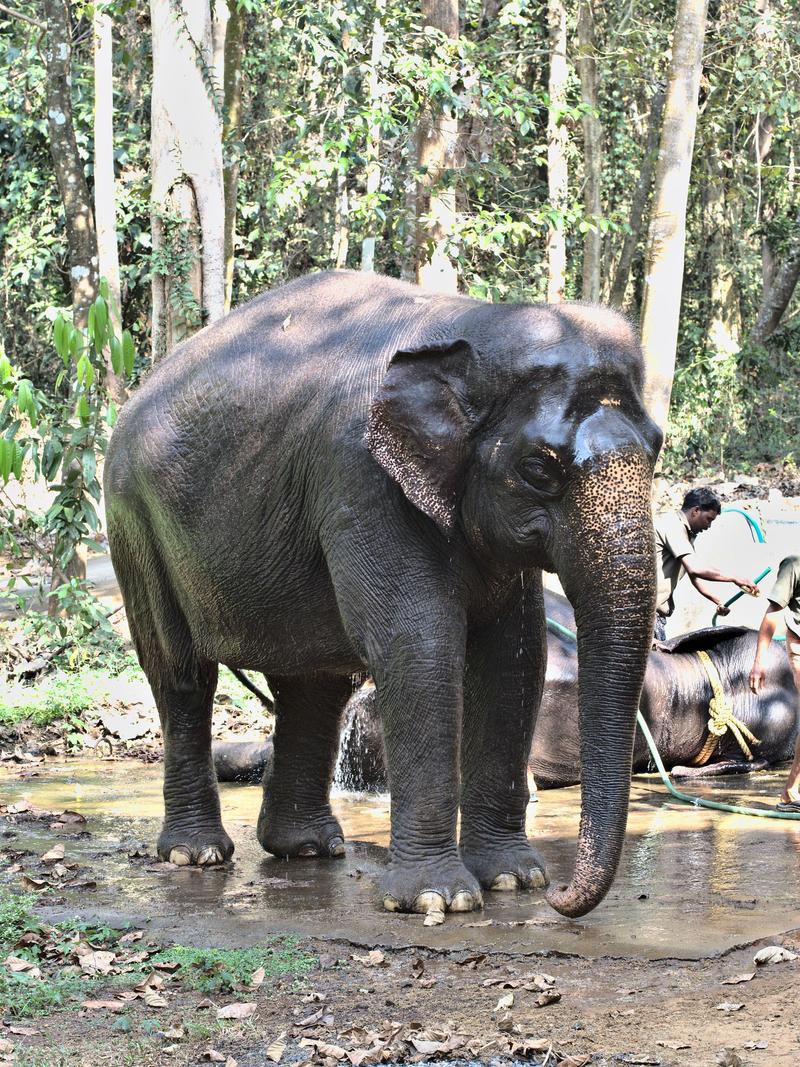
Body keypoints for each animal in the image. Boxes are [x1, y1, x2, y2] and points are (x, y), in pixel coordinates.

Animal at [105, 266, 665, 917]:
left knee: (314, 686)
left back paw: (307, 849)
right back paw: (195, 856)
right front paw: (440, 901)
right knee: (183, 676)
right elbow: (419, 645)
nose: (561, 896)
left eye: (656, 447)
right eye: (538, 469)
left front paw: (512, 880)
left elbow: (514, 656)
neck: (473, 323)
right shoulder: (360, 477)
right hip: (134, 523)